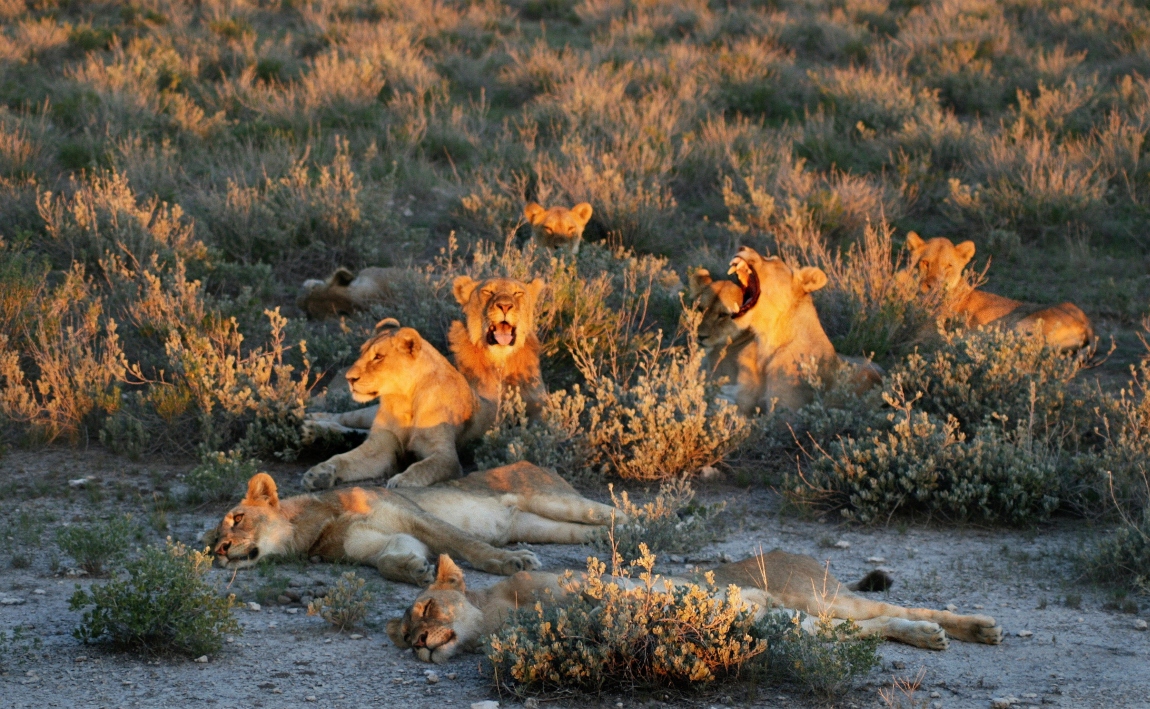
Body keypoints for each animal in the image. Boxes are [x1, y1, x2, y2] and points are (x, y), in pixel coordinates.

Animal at [207, 461, 621, 583]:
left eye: (238, 518)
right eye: (210, 544)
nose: (222, 551)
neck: (314, 524)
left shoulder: (413, 515)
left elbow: (466, 543)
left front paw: (512, 562)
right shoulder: (379, 540)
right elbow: (387, 561)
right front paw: (415, 569)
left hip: (553, 498)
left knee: (616, 511)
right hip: (541, 526)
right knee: (587, 531)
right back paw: (606, 541)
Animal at [301, 317, 480, 489]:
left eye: (378, 357)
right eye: (361, 352)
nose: (349, 378)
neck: (403, 399)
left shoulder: (446, 456)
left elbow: (424, 467)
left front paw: (400, 481)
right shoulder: (381, 446)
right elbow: (342, 459)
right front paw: (319, 474)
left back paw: (312, 430)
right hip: (366, 414)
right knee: (343, 418)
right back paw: (309, 421)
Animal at [906, 232, 1094, 351]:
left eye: (948, 266)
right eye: (925, 263)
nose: (933, 286)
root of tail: (1086, 321)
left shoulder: (930, 333)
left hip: (1020, 326)